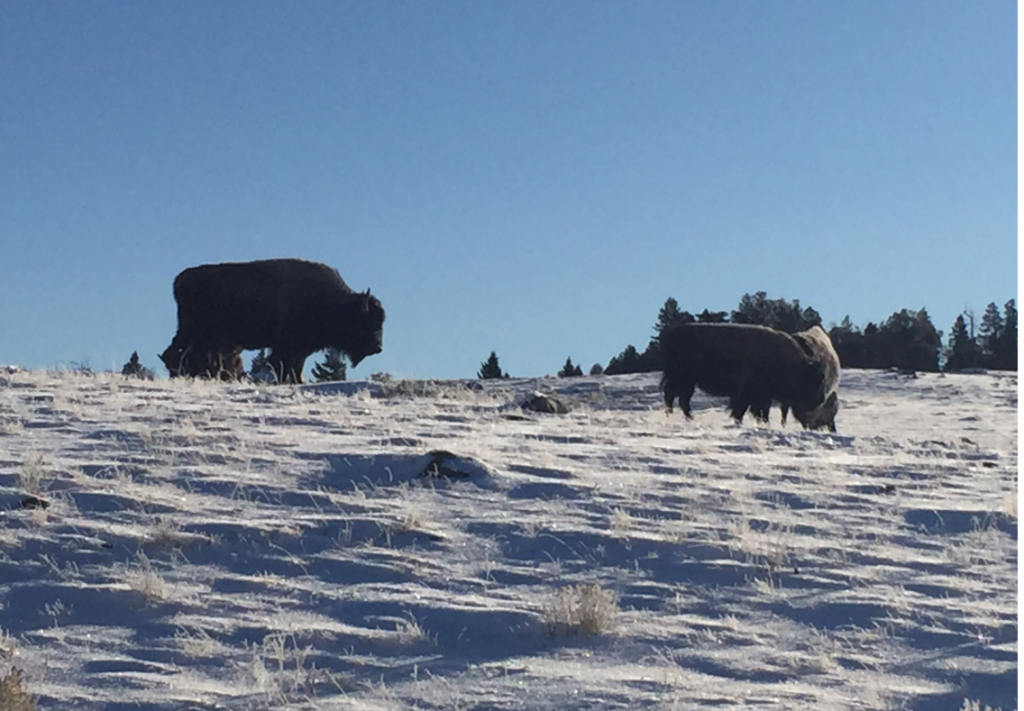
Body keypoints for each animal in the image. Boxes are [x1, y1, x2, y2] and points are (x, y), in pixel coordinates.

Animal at [160, 258, 385, 383]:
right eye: (366, 322)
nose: (378, 347)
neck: (334, 302)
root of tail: (179, 280)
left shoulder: (299, 349)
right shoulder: (287, 346)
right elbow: (285, 366)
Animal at [660, 323, 828, 425]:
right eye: (814, 379)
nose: (820, 400)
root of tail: (669, 333)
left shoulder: (762, 396)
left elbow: (760, 411)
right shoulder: (748, 394)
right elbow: (743, 409)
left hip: (687, 381)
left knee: (678, 398)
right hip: (683, 379)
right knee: (675, 396)